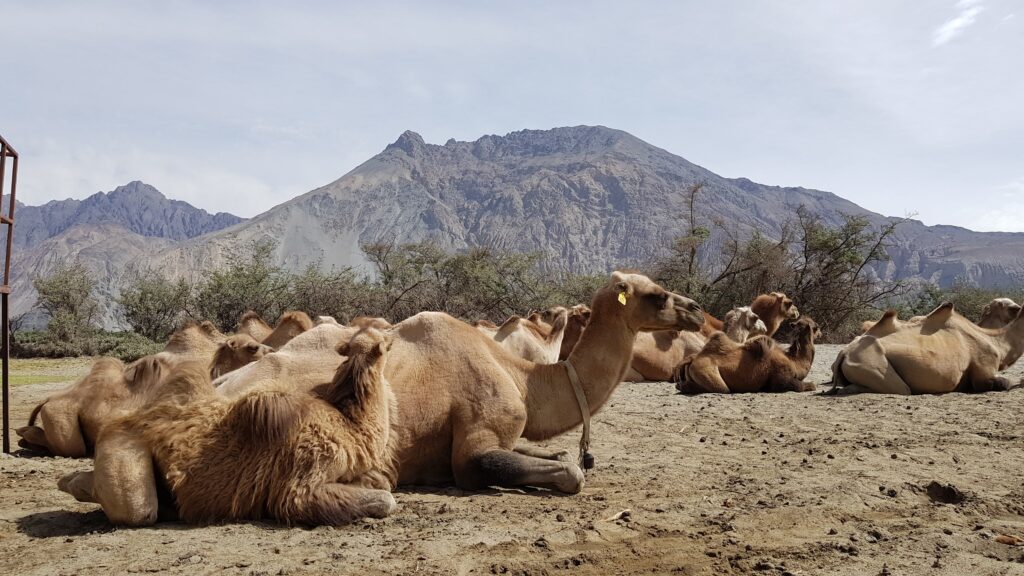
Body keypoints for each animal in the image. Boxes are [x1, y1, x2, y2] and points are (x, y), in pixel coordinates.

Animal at [58, 327, 397, 524]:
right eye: (383, 340)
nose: (393, 334)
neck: (351, 427)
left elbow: (379, 483)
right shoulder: (300, 482)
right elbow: (385, 499)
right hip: (121, 449)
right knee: (137, 510)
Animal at [675, 315, 819, 391]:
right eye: (814, 327)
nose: (820, 331)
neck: (795, 362)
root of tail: (692, 359)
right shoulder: (781, 378)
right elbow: (803, 385)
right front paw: (812, 385)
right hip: (708, 373)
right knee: (722, 388)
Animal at [831, 301, 1024, 393]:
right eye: (1007, 307)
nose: (1018, 306)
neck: (997, 343)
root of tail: (844, 353)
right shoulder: (983, 372)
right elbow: (1005, 383)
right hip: (872, 363)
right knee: (901, 389)